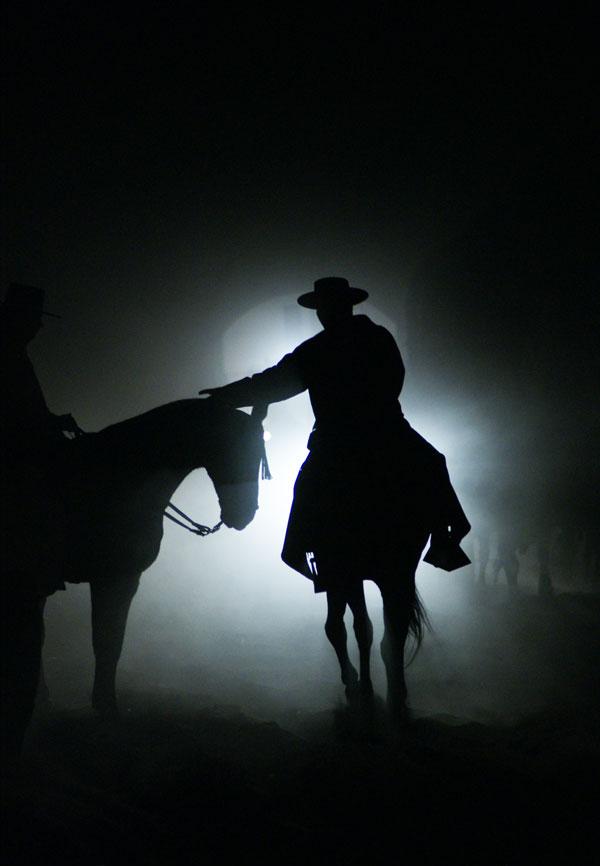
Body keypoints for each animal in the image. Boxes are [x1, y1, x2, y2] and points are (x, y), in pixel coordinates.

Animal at [2, 398, 264, 748]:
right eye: (238, 449)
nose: (244, 515)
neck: (122, 478)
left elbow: (109, 642)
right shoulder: (116, 578)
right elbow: (108, 642)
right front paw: (107, 709)